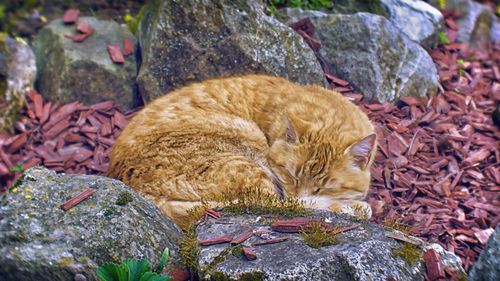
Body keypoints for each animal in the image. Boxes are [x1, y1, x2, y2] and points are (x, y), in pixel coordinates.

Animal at [107, 74, 376, 228]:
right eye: (290, 175)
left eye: (324, 186)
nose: (296, 192)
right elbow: (303, 205)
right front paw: (353, 205)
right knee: (279, 206)